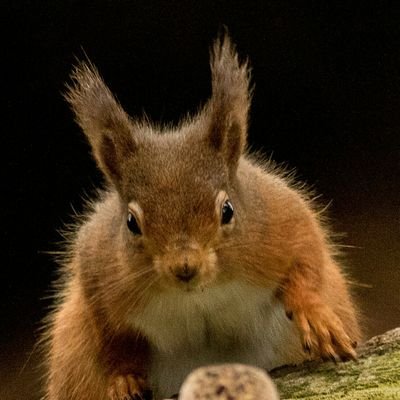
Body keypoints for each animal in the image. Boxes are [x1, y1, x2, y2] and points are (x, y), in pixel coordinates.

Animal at [43, 34, 360, 400]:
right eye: (131, 223)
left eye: (227, 210)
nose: (185, 267)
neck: (199, 295)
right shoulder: (97, 272)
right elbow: (111, 339)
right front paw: (123, 378)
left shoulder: (282, 219)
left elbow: (306, 261)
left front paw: (315, 315)